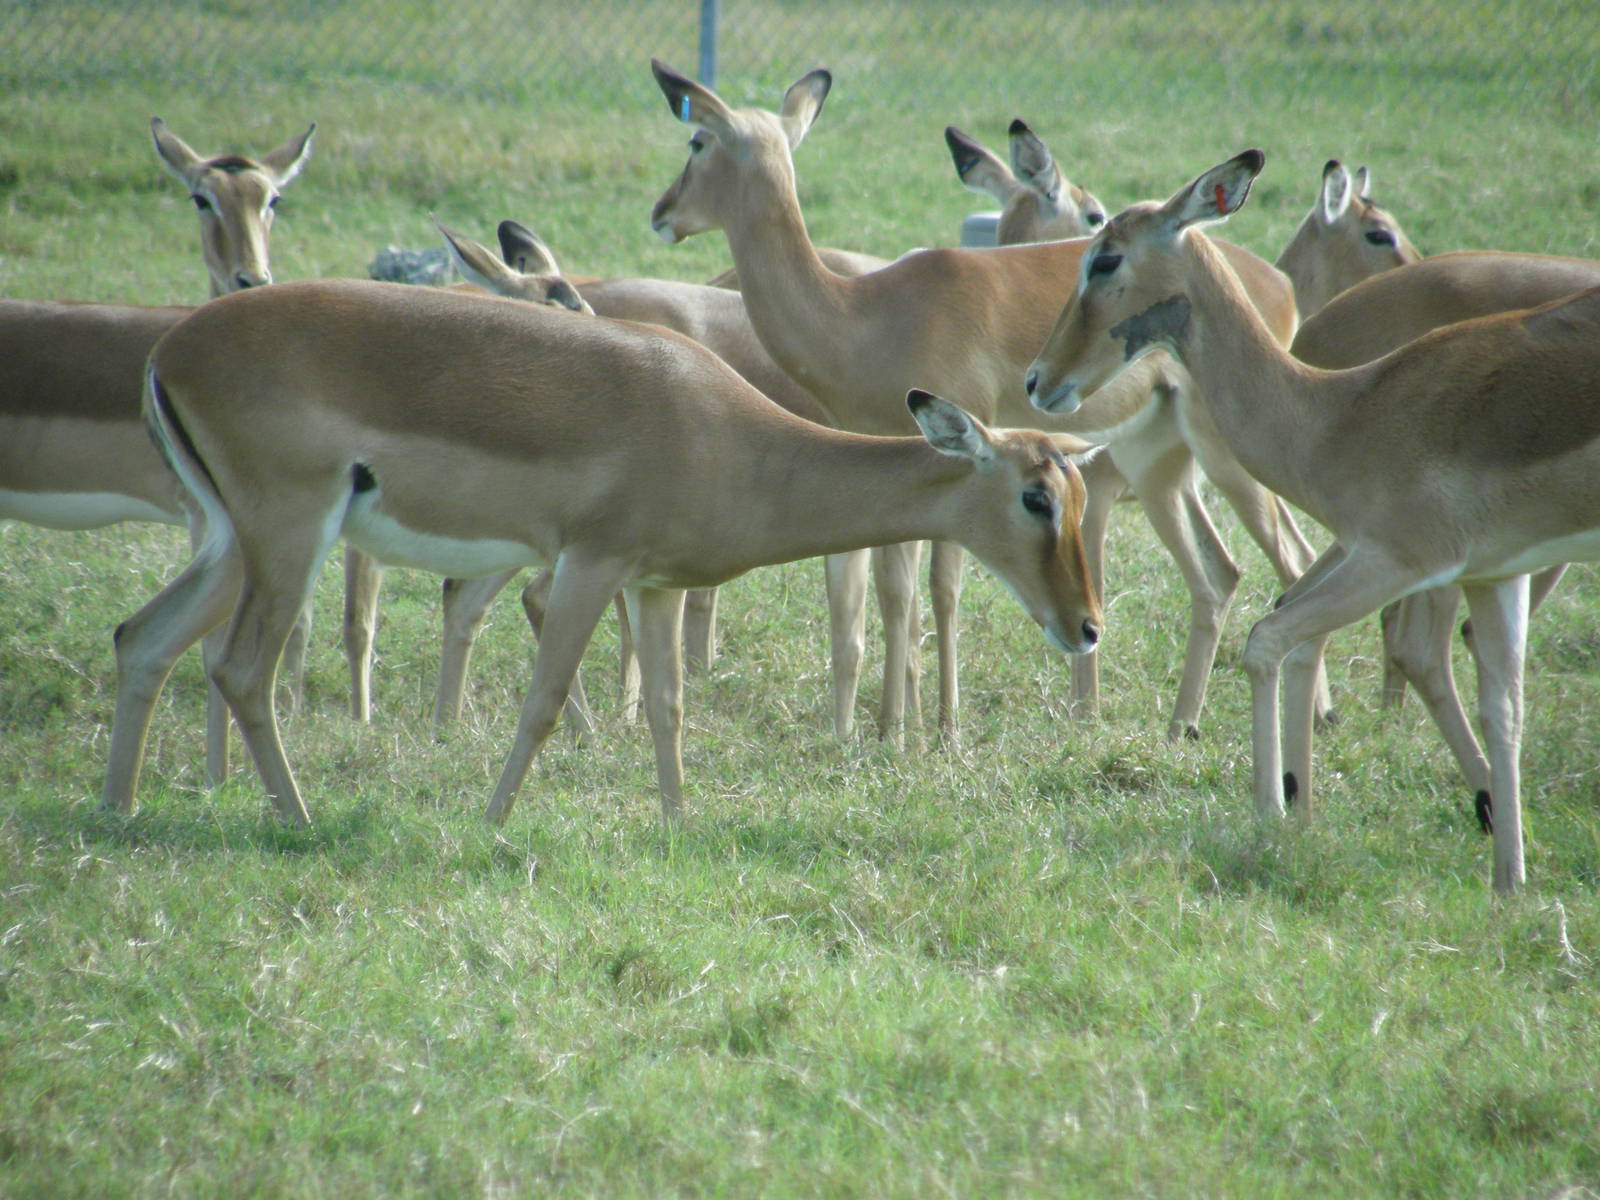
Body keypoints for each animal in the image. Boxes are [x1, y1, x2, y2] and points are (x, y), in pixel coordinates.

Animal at [0, 119, 315, 782]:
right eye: (201, 197)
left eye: (271, 197)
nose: (252, 278)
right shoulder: (206, 521)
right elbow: (211, 644)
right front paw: (219, 781)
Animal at [100, 278, 1103, 826]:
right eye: (1035, 496)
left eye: (1081, 497)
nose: (1088, 626)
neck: (728, 435)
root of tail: (169, 349)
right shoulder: (590, 565)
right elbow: (542, 702)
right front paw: (490, 825)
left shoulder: (656, 587)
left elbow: (667, 707)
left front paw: (678, 823)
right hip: (288, 536)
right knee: (241, 669)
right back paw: (300, 819)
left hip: (234, 543)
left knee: (142, 638)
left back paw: (120, 809)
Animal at [1025, 148, 1600, 893]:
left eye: (1105, 258)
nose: (1038, 379)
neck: (1343, 413)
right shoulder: (1496, 573)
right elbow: (1504, 711)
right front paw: (1510, 882)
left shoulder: (1399, 560)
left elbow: (1269, 638)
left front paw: (1273, 811)